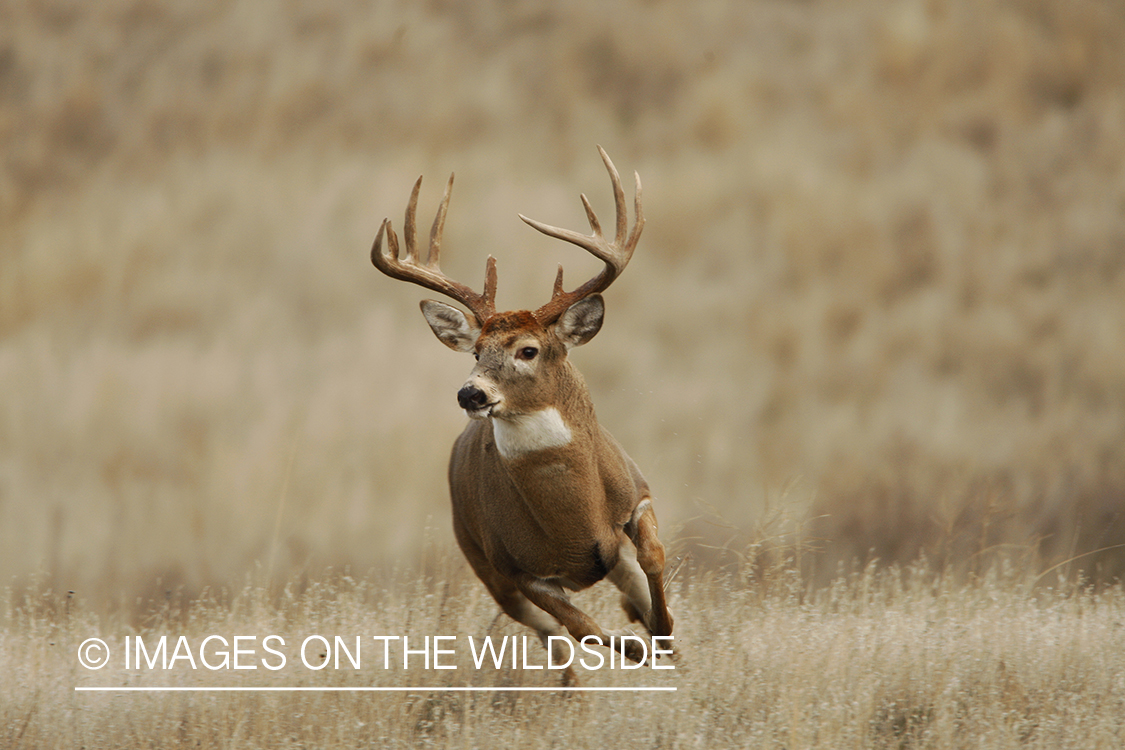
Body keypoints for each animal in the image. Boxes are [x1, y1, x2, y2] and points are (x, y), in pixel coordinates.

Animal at [369, 146, 670, 674]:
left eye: (528, 350)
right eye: (475, 351)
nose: (471, 394)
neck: (577, 520)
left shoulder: (637, 494)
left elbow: (652, 556)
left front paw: (664, 629)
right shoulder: (517, 567)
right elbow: (581, 629)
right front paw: (638, 646)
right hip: (484, 565)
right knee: (556, 641)